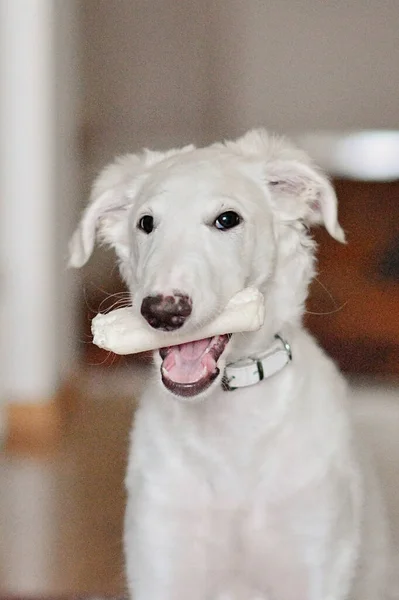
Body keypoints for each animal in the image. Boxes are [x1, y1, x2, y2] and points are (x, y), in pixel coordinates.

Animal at [70, 129, 390, 596]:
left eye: (227, 220)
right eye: (146, 223)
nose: (163, 311)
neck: (231, 429)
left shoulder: (315, 561)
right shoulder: (162, 560)